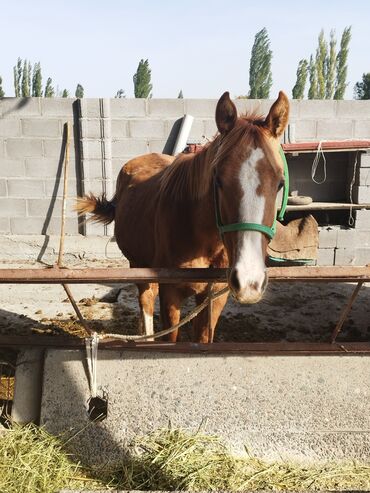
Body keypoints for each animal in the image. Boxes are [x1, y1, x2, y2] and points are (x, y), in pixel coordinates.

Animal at [76, 90, 290, 342]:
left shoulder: (214, 297)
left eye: (280, 183)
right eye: (218, 180)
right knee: (146, 302)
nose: (250, 281)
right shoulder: (171, 293)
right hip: (138, 265)